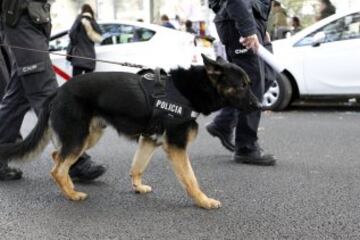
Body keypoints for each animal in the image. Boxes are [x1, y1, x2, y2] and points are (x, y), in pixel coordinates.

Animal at [0, 54, 258, 208]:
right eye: (241, 85)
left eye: (249, 84)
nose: (260, 107)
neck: (190, 89)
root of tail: (58, 91)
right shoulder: (176, 146)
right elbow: (191, 178)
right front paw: (203, 201)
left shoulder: (149, 140)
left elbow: (137, 166)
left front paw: (138, 187)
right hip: (79, 137)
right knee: (57, 168)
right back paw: (72, 195)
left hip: (88, 136)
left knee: (57, 157)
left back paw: (70, 186)